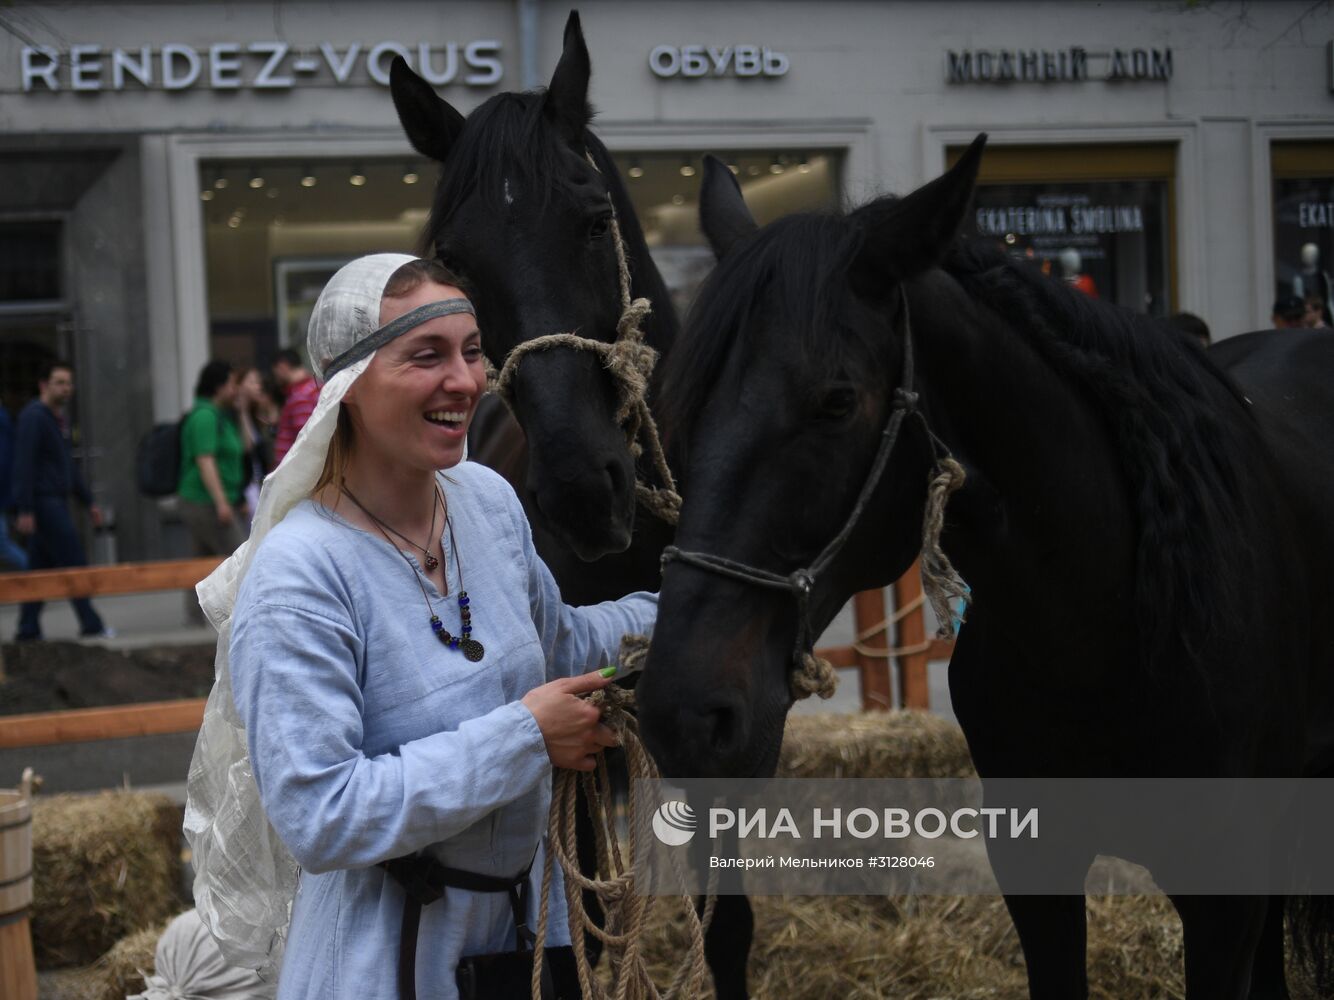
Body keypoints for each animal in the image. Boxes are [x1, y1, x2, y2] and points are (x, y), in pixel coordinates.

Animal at [637, 142, 1334, 1000]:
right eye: (680, 404)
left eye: (837, 402)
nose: (680, 712)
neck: (1105, 626)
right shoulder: (1038, 870)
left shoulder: (1223, 897)